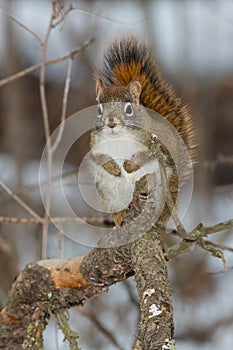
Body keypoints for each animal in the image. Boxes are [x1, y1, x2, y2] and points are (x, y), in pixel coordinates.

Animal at [88, 36, 194, 227]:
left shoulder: (151, 144)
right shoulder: (96, 145)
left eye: (129, 109)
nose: (111, 123)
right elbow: (100, 159)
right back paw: (120, 215)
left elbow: (143, 157)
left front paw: (127, 166)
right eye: (99, 109)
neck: (119, 138)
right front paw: (115, 169)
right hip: (108, 192)